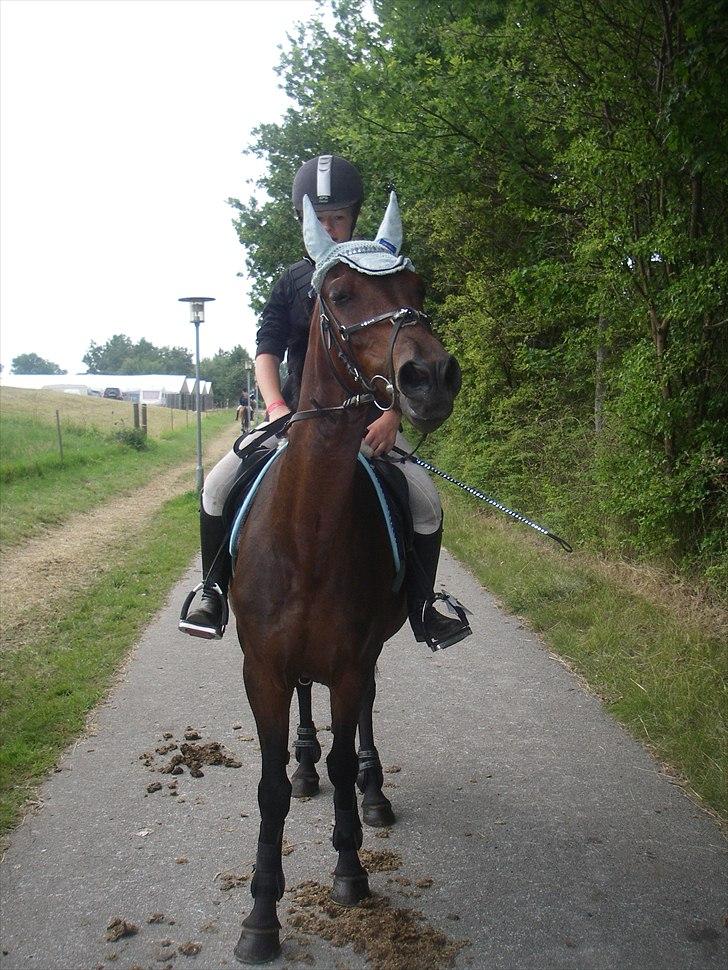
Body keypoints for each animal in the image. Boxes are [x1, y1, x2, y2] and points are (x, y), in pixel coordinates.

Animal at [228, 193, 462, 964]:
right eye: (337, 296)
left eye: (416, 287)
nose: (430, 378)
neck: (308, 534)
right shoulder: (263, 667)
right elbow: (270, 787)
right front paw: (261, 915)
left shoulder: (353, 659)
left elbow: (344, 746)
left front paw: (350, 868)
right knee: (308, 710)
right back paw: (307, 760)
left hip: (365, 654)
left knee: (360, 718)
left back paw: (372, 789)